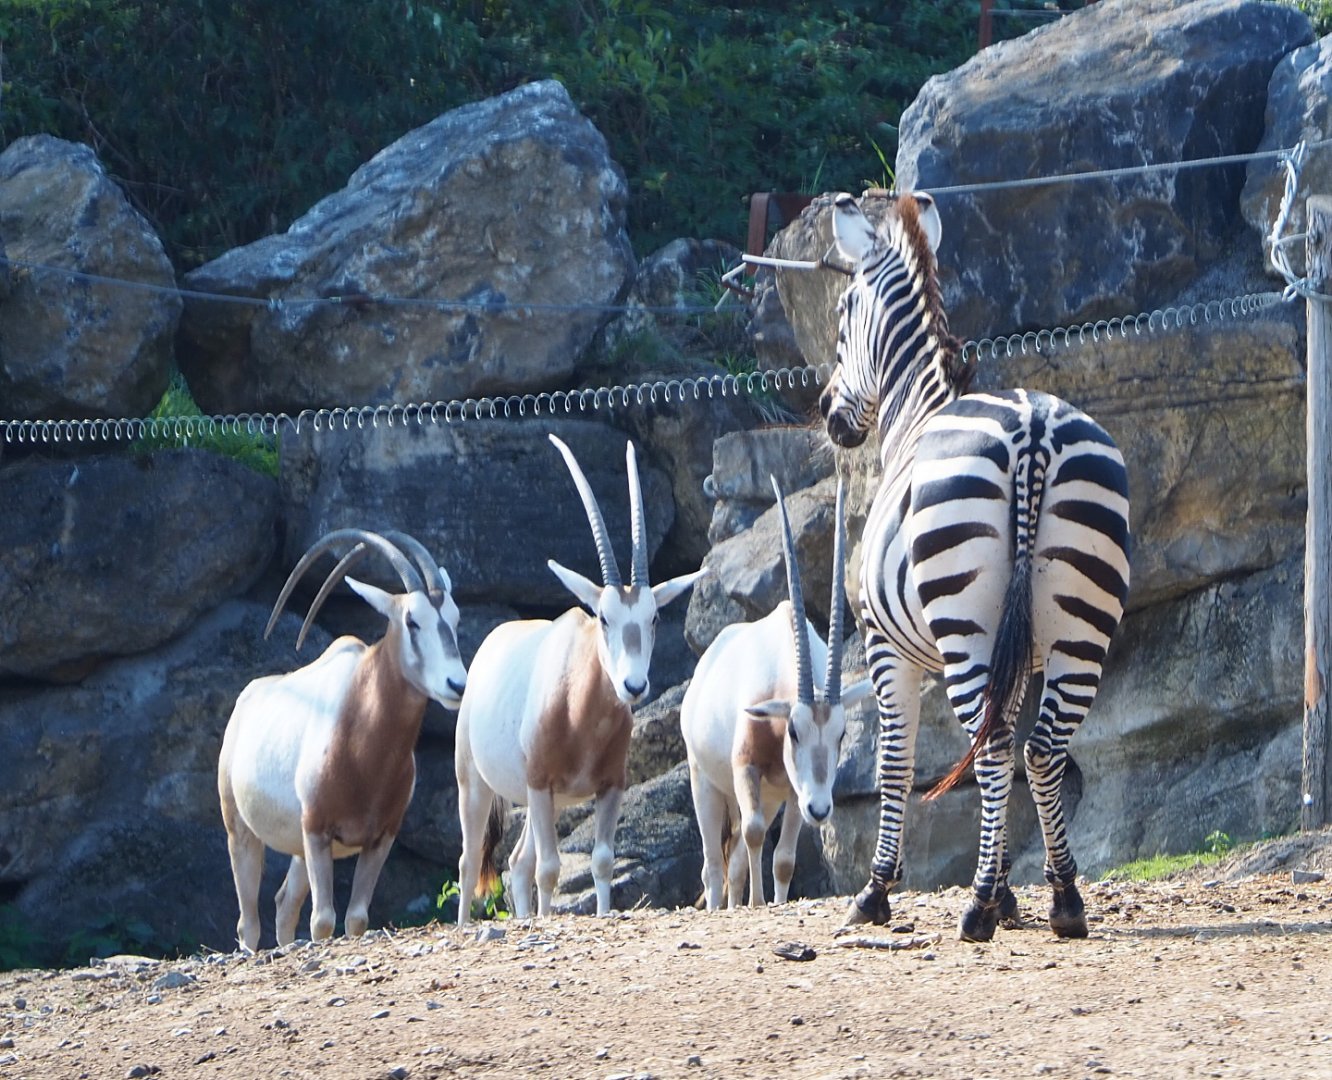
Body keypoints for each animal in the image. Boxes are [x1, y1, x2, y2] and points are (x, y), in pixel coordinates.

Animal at [817, 190, 1131, 942]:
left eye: (843, 315)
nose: (829, 414)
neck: (915, 412)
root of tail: (1033, 431)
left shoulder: (882, 643)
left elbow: (895, 761)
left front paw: (876, 891)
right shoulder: (1017, 653)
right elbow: (1006, 741)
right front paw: (1017, 889)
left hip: (964, 630)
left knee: (989, 749)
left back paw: (979, 905)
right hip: (1079, 625)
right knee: (1038, 747)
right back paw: (1064, 897)